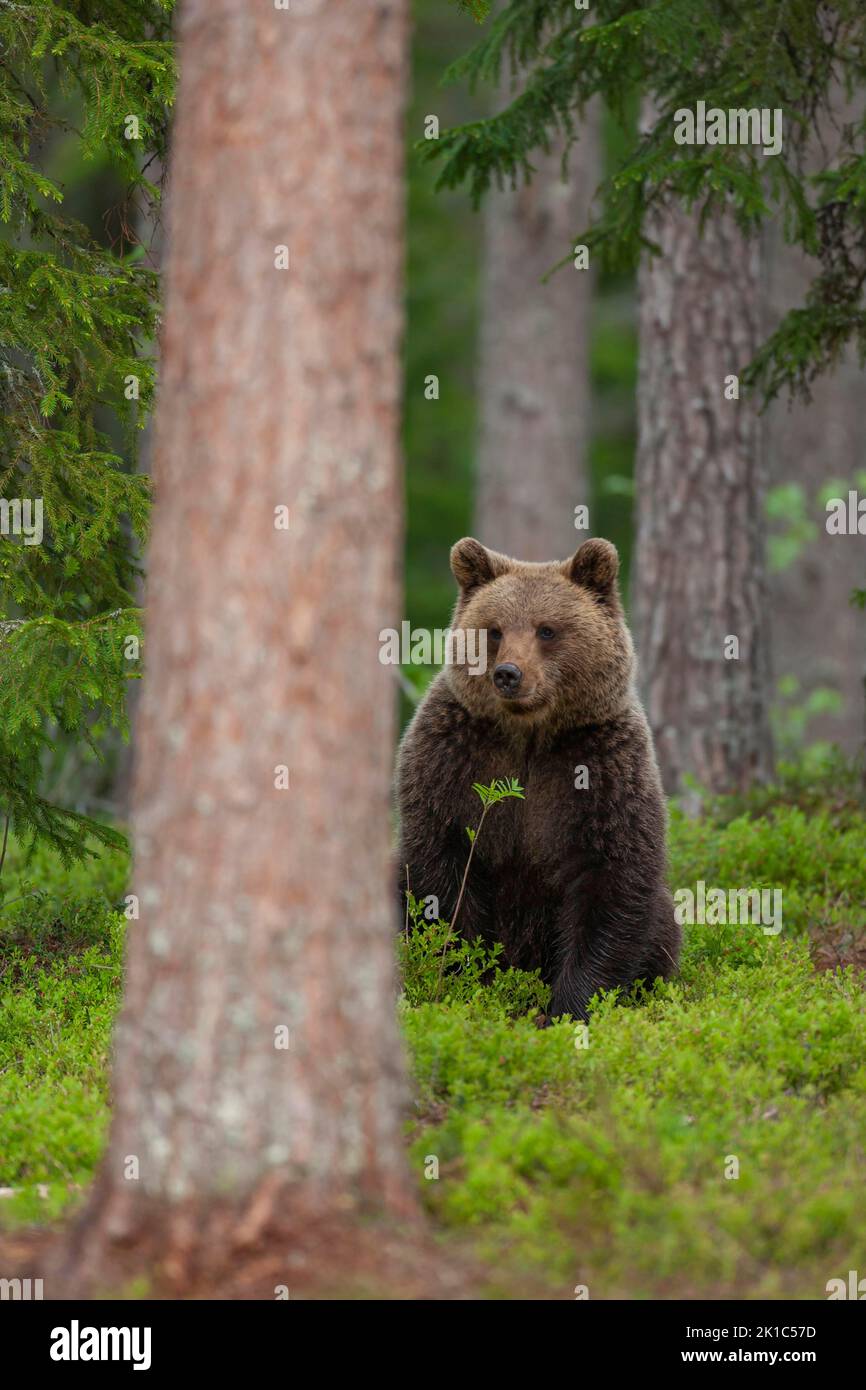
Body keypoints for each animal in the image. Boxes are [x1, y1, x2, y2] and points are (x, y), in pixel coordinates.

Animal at [395, 535, 681, 1021]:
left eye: (546, 630)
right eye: (495, 630)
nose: (508, 673)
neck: (529, 735)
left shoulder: (604, 769)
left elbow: (612, 878)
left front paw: (571, 1006)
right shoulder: (450, 758)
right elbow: (441, 870)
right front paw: (469, 981)